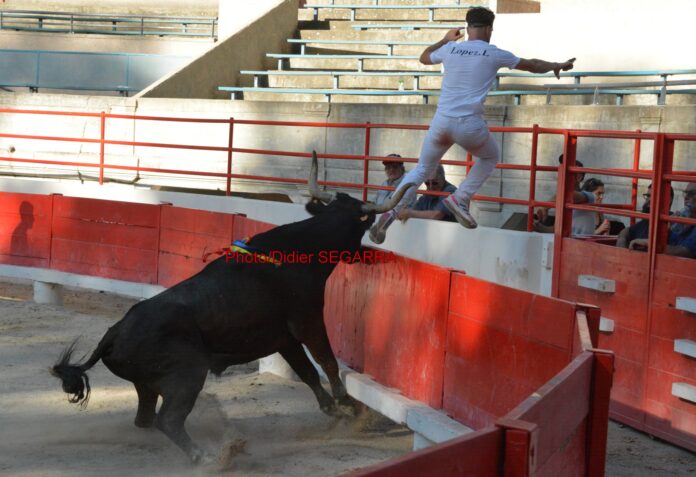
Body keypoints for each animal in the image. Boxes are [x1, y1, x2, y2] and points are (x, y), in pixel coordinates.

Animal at [51, 152, 416, 462]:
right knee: (168, 420)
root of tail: (112, 334)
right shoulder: (308, 320)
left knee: (146, 419)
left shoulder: (283, 339)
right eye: (361, 224)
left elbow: (308, 373)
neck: (298, 251)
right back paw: (208, 457)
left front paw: (338, 411)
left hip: (147, 385)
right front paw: (349, 406)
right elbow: (326, 361)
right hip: (188, 375)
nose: (369, 251)